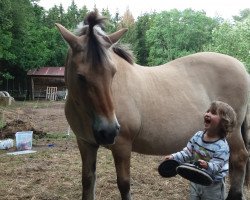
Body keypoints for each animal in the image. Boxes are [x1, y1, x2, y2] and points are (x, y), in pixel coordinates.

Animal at [55, 11, 249, 199]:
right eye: (80, 76)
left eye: (113, 73)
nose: (109, 131)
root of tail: (242, 67)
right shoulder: (85, 144)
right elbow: (88, 181)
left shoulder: (122, 145)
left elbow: (124, 184)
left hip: (230, 133)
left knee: (239, 158)